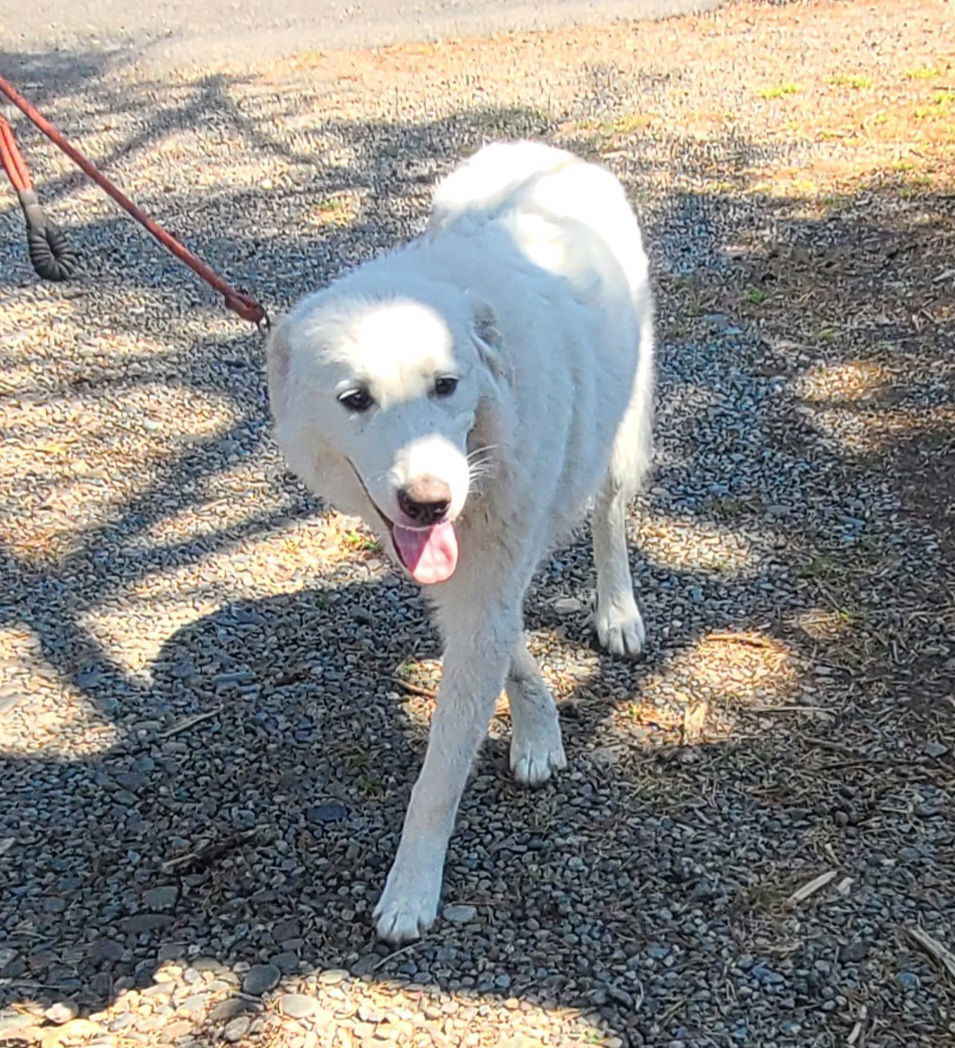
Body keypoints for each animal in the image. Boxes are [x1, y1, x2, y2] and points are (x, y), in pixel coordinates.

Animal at [268, 141, 658, 943]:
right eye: (355, 400)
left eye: (446, 386)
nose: (429, 502)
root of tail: (540, 146)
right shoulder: (463, 579)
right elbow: (510, 651)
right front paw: (538, 729)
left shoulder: (486, 575)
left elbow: (438, 776)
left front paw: (411, 890)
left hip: (621, 429)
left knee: (607, 515)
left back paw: (617, 612)